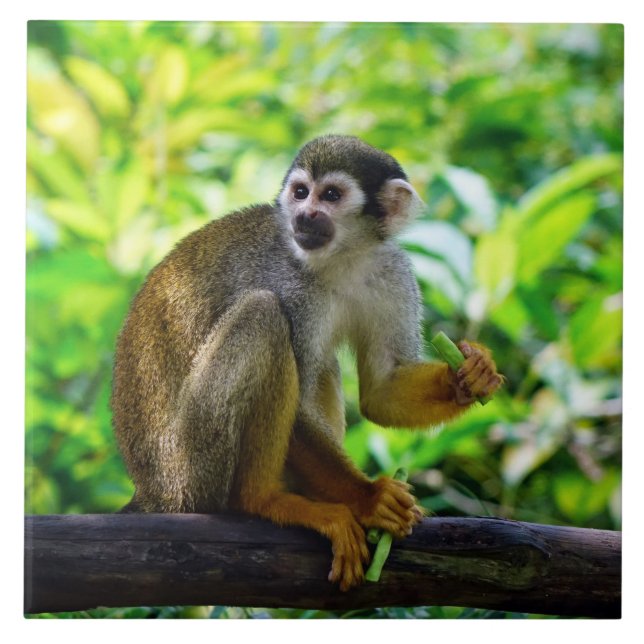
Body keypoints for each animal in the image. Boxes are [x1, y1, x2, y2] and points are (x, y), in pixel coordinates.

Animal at [111, 134, 503, 591]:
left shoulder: (392, 272)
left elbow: (381, 392)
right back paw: (263, 500)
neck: (342, 259)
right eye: (300, 192)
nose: (304, 214)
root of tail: (151, 491)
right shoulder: (290, 285)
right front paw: (369, 498)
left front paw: (470, 374)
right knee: (263, 315)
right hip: (191, 468)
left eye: (330, 196)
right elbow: (297, 411)